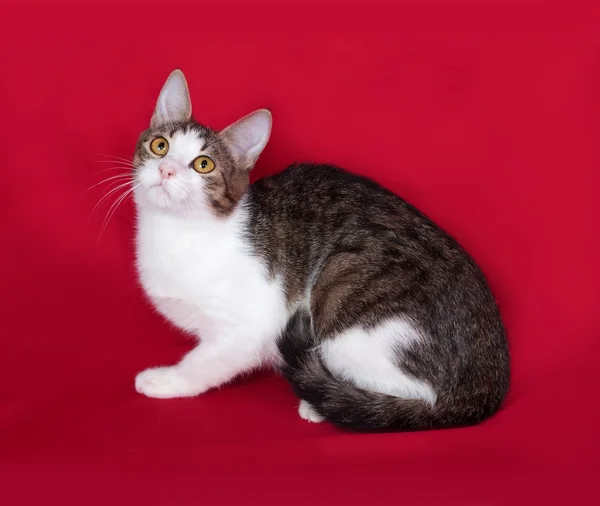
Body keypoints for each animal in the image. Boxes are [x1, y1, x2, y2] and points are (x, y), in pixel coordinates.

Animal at [132, 68, 510, 430]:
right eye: (160, 146)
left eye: (203, 165)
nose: (166, 170)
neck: (177, 231)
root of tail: (487, 382)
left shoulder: (249, 328)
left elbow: (204, 362)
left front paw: (165, 380)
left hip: (344, 288)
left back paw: (325, 403)